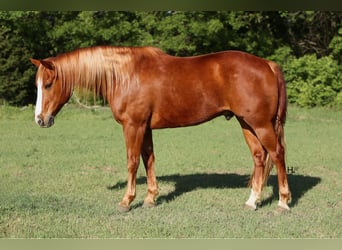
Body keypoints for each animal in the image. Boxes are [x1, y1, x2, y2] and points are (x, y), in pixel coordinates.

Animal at [30, 46, 292, 212]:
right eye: (37, 84)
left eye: (48, 84)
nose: (40, 120)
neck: (125, 75)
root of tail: (268, 65)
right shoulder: (145, 128)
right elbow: (149, 159)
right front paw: (150, 198)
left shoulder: (133, 126)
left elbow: (133, 161)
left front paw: (127, 201)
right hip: (246, 123)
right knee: (259, 157)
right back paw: (252, 202)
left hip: (260, 124)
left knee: (277, 154)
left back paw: (283, 202)